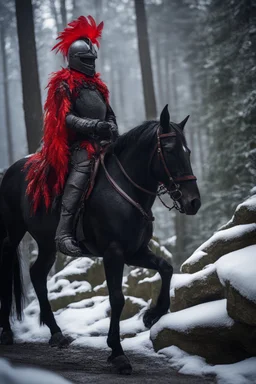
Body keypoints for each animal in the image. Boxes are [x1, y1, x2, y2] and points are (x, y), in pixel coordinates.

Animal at [0, 106, 200, 376]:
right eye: (169, 150)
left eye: (187, 151)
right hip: (13, 233)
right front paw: (117, 353)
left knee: (37, 274)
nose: (193, 202)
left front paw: (151, 316)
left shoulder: (135, 252)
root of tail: (10, 171)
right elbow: (117, 298)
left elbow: (166, 268)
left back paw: (56, 334)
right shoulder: (113, 253)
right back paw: (7, 332)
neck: (126, 190)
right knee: (7, 269)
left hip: (47, 243)